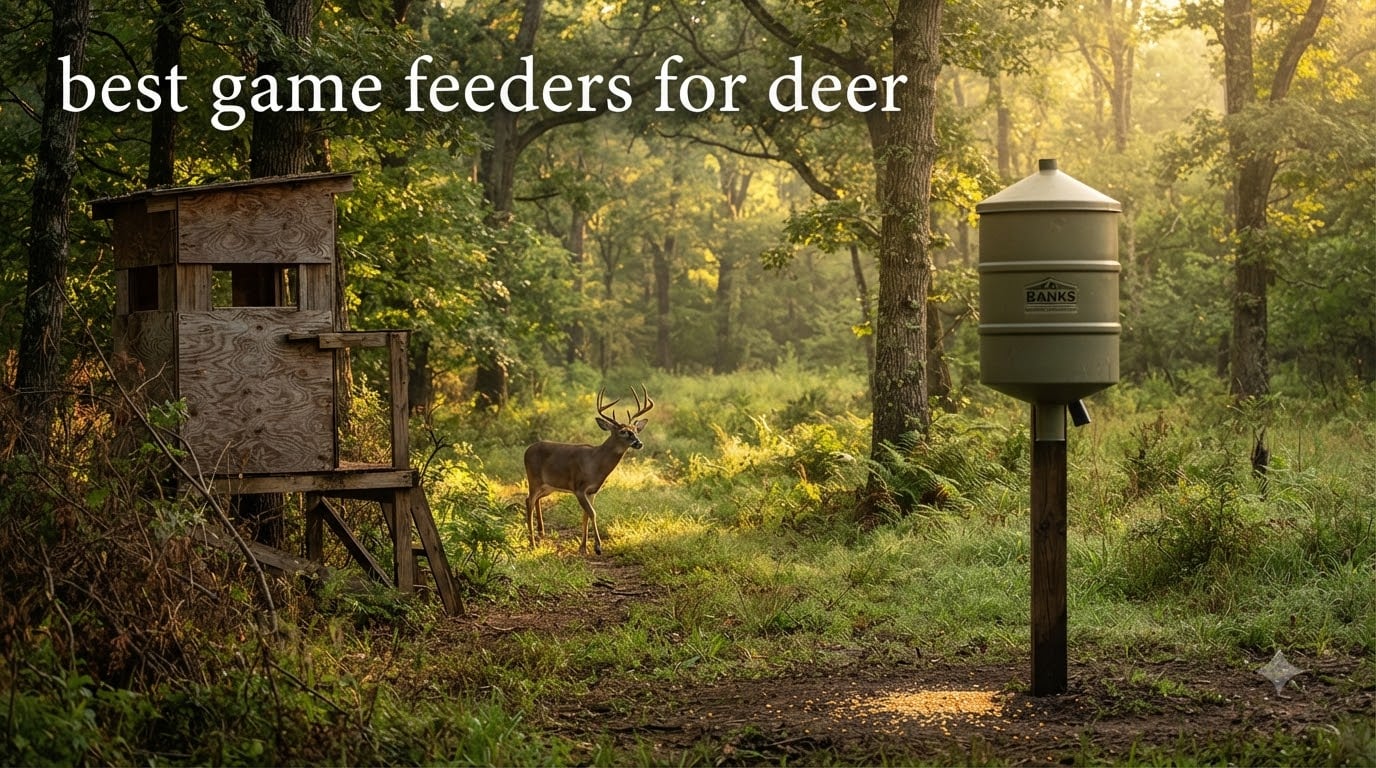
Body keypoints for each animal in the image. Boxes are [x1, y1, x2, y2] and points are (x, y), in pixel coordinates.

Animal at [523, 386, 654, 555]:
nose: (639, 443)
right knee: (529, 501)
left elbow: (585, 515)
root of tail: (527, 450)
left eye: (636, 430)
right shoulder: (579, 488)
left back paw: (541, 532)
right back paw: (532, 543)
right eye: (623, 431)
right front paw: (597, 547)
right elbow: (592, 513)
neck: (595, 463)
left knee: (536, 499)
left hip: (548, 486)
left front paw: (583, 547)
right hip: (533, 478)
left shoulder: (592, 491)